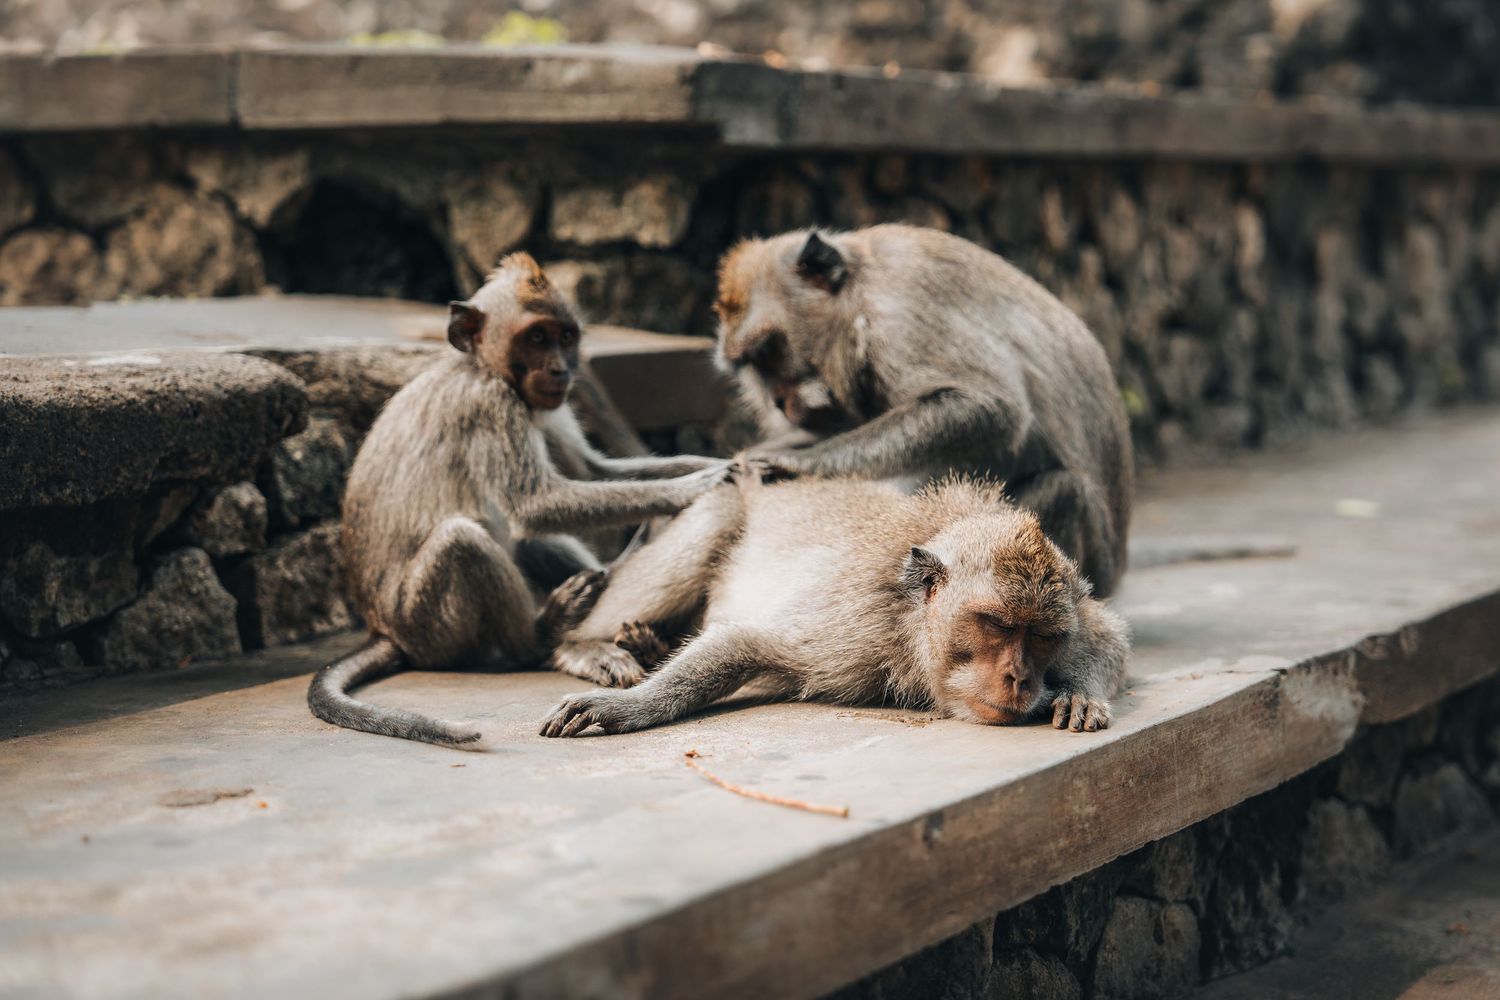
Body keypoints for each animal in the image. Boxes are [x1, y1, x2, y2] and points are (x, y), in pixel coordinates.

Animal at [308, 252, 733, 750]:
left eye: (564, 337)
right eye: (536, 337)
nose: (560, 370)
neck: (481, 368)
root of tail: (383, 628)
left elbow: (590, 471)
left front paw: (725, 461)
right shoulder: (491, 405)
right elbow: (535, 504)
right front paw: (696, 486)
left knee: (528, 544)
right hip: (425, 627)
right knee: (462, 540)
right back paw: (541, 637)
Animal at [541, 476, 1129, 738]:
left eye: (1043, 637)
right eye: (997, 625)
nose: (1020, 678)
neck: (909, 620)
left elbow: (1107, 635)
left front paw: (1080, 694)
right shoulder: (854, 630)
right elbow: (745, 641)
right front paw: (629, 707)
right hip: (720, 507)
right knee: (715, 524)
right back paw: (582, 642)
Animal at [712, 224, 1134, 597]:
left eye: (767, 351)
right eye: (750, 365)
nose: (777, 402)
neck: (861, 289)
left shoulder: (899, 312)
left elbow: (992, 408)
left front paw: (801, 462)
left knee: (1065, 490)